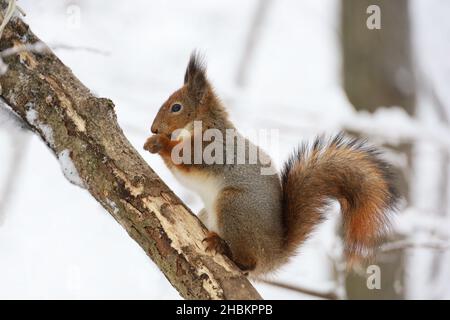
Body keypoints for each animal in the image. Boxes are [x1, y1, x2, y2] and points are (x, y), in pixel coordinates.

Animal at [143, 52, 398, 276]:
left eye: (176, 107)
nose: (153, 128)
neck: (203, 126)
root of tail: (273, 254)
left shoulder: (209, 151)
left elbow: (182, 160)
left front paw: (159, 143)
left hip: (234, 206)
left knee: (248, 263)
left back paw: (224, 247)